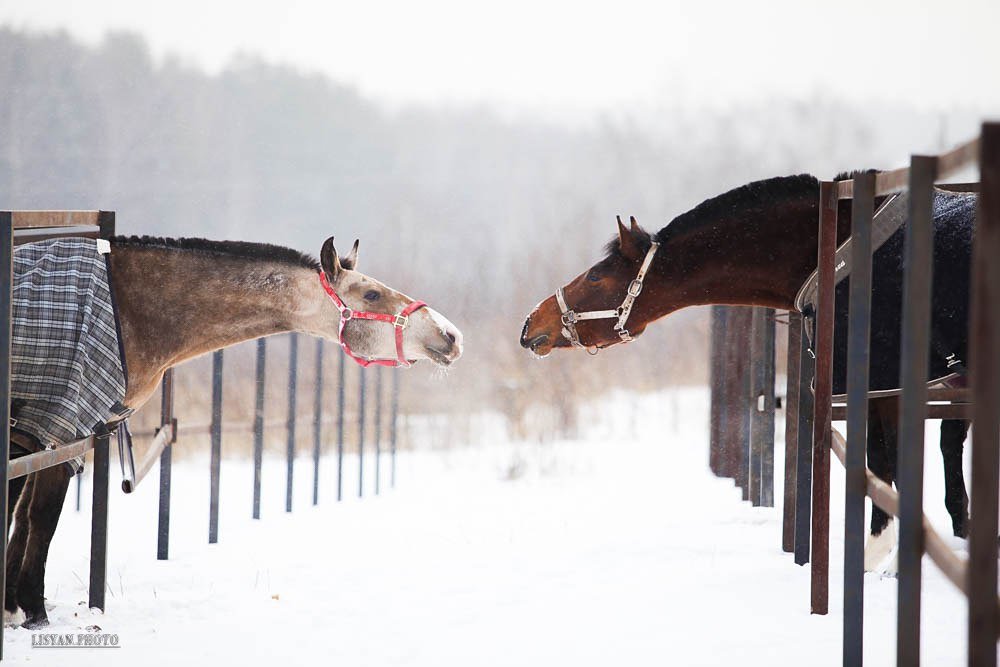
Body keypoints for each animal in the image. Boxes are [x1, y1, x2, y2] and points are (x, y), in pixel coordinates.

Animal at [4, 235, 464, 628]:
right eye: (371, 295)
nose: (451, 335)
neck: (129, 308)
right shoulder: (60, 424)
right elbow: (37, 517)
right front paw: (33, 613)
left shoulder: (41, 434)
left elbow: (20, 513)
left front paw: (13, 607)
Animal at [520, 176, 972, 576]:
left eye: (596, 275)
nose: (530, 324)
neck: (844, 248)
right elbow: (883, 469)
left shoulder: (888, 385)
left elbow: (891, 468)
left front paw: (886, 564)